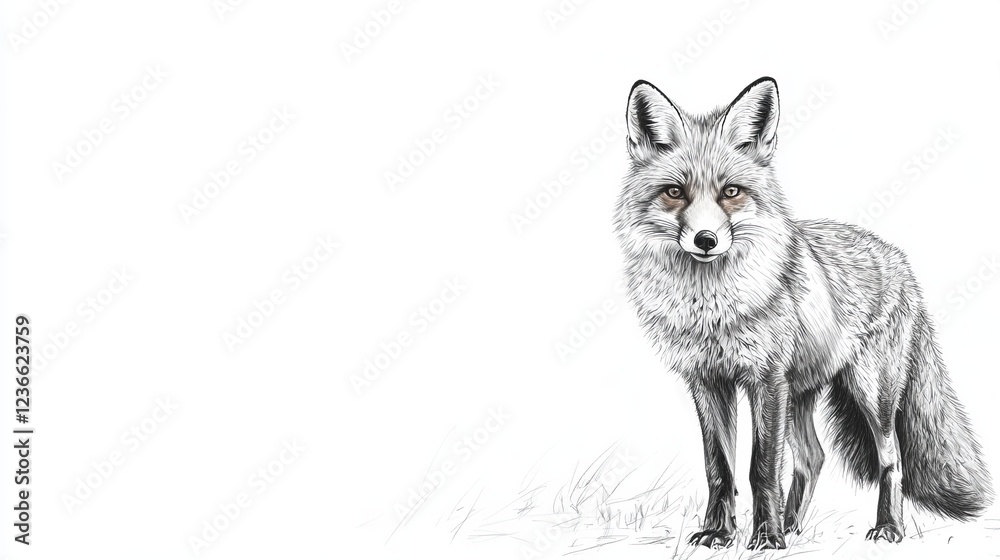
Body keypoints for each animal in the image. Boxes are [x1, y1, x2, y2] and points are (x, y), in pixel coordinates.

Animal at [613, 77, 993, 549]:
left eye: (731, 192)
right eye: (674, 192)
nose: (705, 240)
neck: (711, 309)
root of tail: (899, 259)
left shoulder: (766, 378)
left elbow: (760, 468)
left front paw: (766, 538)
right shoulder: (708, 381)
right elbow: (719, 469)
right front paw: (721, 532)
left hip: (868, 391)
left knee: (891, 459)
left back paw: (886, 527)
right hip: (799, 394)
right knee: (813, 457)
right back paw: (793, 525)